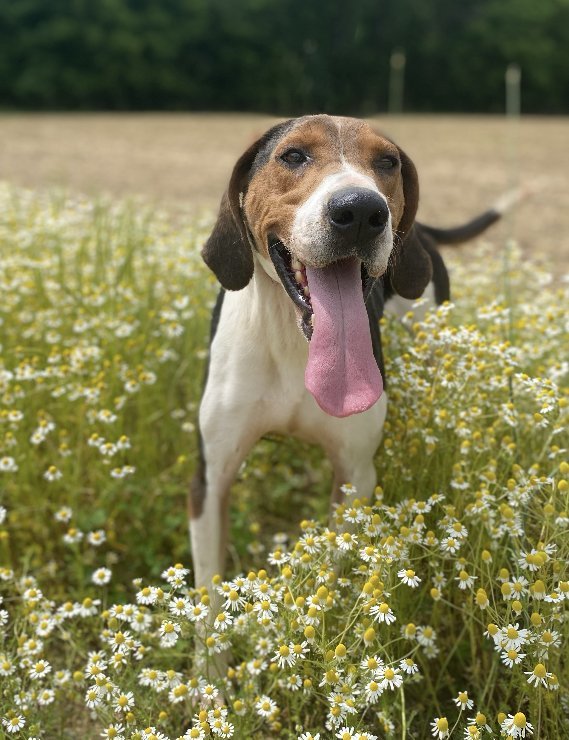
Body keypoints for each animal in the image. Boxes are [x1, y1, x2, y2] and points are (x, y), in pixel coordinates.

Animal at [190, 114, 516, 588]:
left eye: (387, 162)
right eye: (293, 155)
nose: (361, 210)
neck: (295, 340)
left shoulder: (356, 475)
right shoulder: (210, 477)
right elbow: (208, 589)